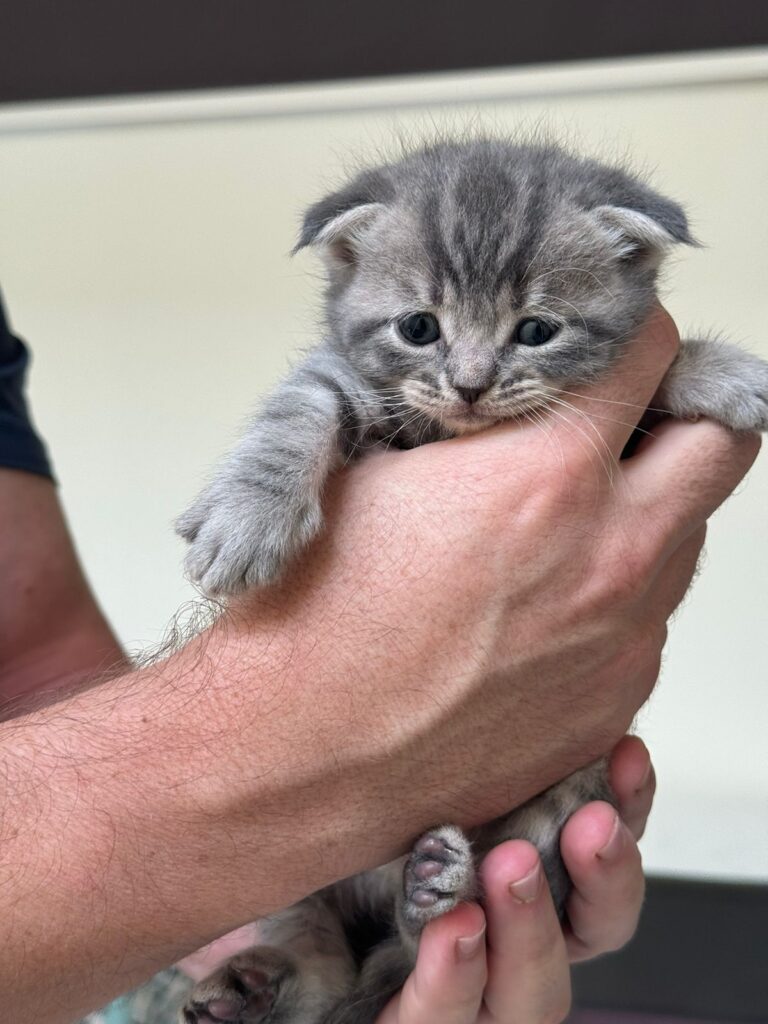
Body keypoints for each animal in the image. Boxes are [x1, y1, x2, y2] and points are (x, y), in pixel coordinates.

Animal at [176, 138, 768, 1024]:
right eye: (419, 328)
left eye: (537, 331)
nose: (471, 381)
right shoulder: (352, 383)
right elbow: (304, 400)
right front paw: (247, 513)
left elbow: (640, 392)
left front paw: (718, 367)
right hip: (288, 867)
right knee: (319, 965)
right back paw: (251, 980)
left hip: (557, 808)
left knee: (437, 937)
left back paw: (428, 896)